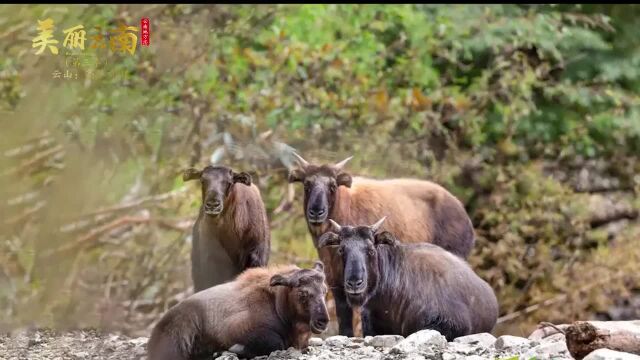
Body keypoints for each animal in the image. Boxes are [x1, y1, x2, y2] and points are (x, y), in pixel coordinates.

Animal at [288, 153, 472, 336]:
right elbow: (344, 318)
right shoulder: (336, 281)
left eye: (332, 185)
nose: (316, 211)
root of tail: (463, 212)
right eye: (307, 183)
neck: (344, 207)